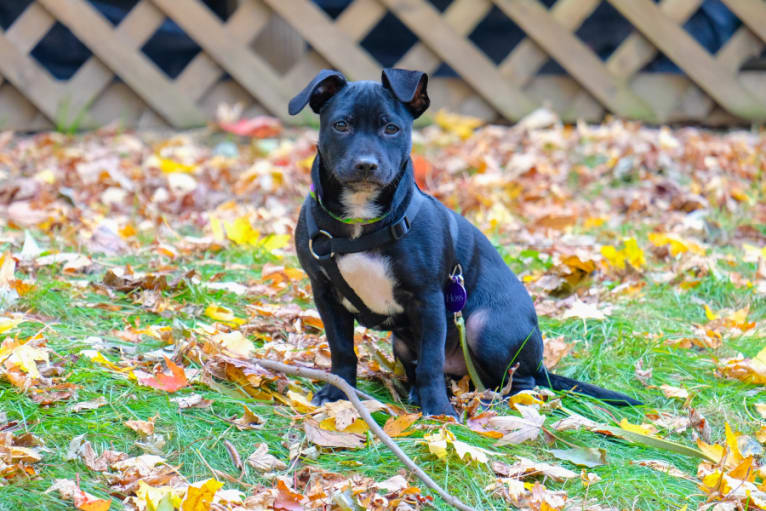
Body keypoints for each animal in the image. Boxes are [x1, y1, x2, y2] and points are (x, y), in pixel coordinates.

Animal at [292, 67, 640, 416]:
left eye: (391, 128)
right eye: (341, 125)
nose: (366, 164)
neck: (360, 221)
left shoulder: (429, 300)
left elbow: (431, 362)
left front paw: (439, 411)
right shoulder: (325, 295)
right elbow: (342, 349)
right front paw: (337, 393)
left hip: (484, 326)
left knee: (520, 383)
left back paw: (488, 400)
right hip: (403, 341)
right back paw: (418, 393)